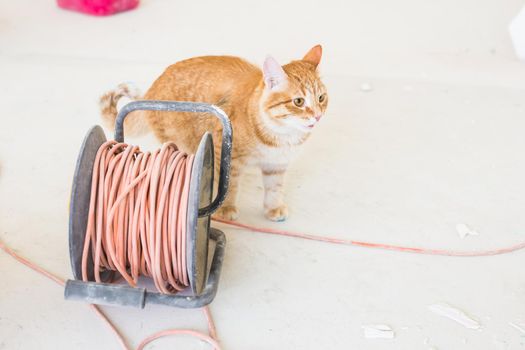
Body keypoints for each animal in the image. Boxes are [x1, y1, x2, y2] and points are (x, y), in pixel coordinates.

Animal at [99, 45, 328, 221]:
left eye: (321, 98)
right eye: (298, 102)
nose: (317, 116)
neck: (282, 137)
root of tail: (152, 88)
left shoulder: (276, 165)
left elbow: (274, 188)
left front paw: (273, 208)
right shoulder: (226, 154)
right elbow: (228, 185)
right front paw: (226, 209)